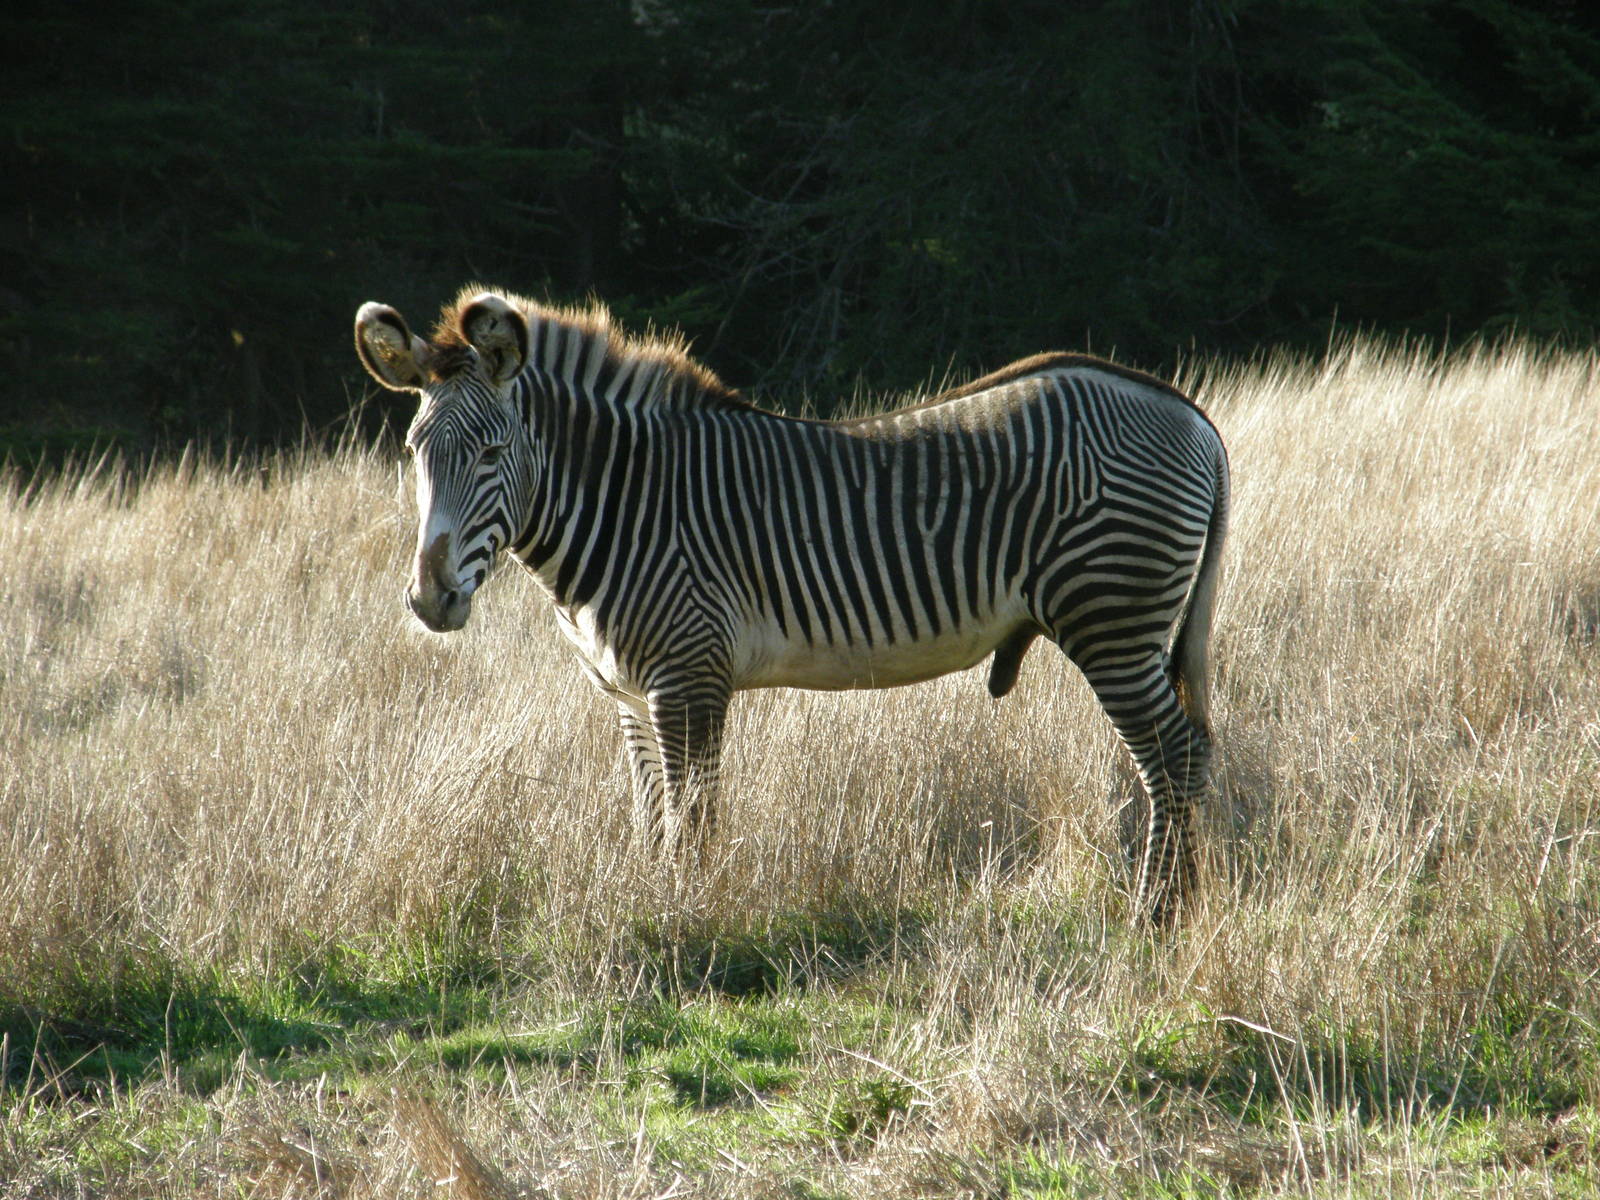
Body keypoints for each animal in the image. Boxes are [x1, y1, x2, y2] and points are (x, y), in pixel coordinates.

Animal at [354, 287, 1229, 924]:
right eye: (414, 453)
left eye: (493, 452)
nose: (431, 599)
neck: (625, 502)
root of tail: (1190, 414)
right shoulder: (630, 696)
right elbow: (650, 820)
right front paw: (648, 908)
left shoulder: (688, 678)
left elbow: (692, 821)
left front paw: (688, 923)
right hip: (1136, 628)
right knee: (1187, 753)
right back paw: (1180, 909)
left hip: (1111, 619)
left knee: (1173, 757)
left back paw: (1155, 918)